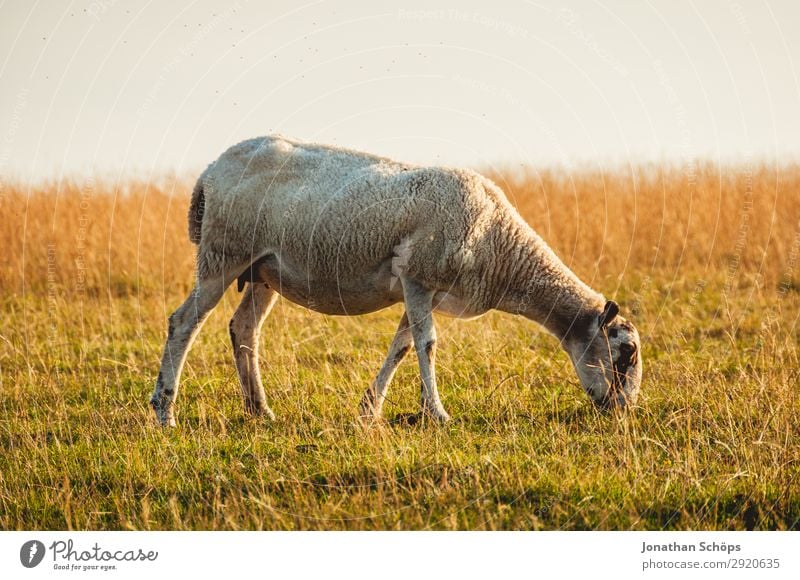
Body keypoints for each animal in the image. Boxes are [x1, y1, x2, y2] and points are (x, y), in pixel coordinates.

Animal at [152, 136, 644, 426]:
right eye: (628, 353)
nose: (623, 413)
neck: (503, 247)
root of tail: (210, 172)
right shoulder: (418, 277)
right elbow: (427, 345)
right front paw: (438, 414)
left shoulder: (423, 289)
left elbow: (403, 346)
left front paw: (370, 409)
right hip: (222, 253)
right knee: (183, 323)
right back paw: (164, 411)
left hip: (263, 269)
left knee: (244, 328)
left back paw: (260, 410)